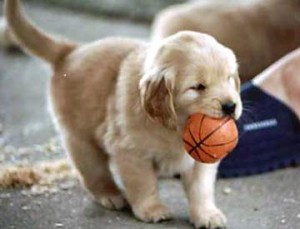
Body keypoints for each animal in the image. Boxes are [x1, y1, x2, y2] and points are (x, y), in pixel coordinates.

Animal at [5, 0, 243, 228]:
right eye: (198, 87)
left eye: (229, 78)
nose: (230, 106)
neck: (176, 125)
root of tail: (69, 51)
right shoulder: (130, 152)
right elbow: (144, 183)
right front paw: (152, 210)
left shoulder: (199, 161)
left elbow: (201, 188)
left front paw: (207, 214)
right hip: (81, 139)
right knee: (94, 173)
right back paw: (110, 194)